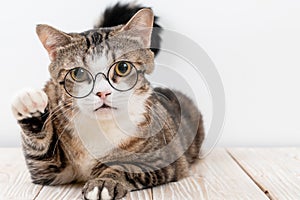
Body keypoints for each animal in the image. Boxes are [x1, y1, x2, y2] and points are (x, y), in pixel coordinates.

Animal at [11, 1, 204, 200]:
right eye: (78, 73)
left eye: (123, 67)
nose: (102, 92)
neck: (102, 127)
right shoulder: (48, 171)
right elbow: (42, 158)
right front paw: (30, 105)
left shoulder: (164, 160)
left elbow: (125, 166)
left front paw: (104, 181)